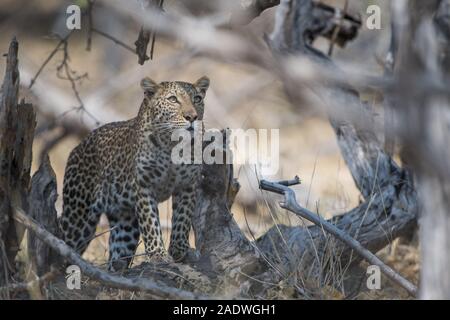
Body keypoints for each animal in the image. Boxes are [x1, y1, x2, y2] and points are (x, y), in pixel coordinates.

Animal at [58, 75, 211, 270]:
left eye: (197, 99)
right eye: (173, 99)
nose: (192, 117)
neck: (171, 144)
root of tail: (77, 147)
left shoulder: (187, 184)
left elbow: (182, 218)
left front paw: (180, 250)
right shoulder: (144, 185)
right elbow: (151, 223)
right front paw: (158, 255)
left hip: (125, 224)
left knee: (117, 257)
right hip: (79, 215)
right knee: (62, 241)